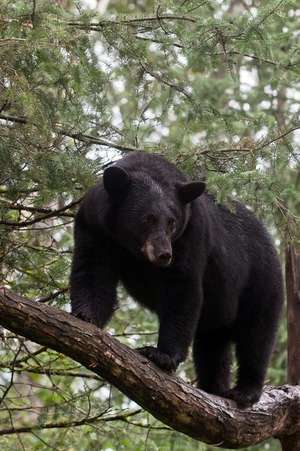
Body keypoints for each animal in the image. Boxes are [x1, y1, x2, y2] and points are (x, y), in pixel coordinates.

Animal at [71, 153, 284, 410]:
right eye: (148, 218)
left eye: (171, 222)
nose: (164, 254)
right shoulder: (94, 225)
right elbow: (92, 270)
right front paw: (85, 316)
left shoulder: (191, 236)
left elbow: (181, 290)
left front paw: (160, 355)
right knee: (212, 344)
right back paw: (214, 387)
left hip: (261, 281)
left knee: (256, 336)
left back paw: (244, 392)